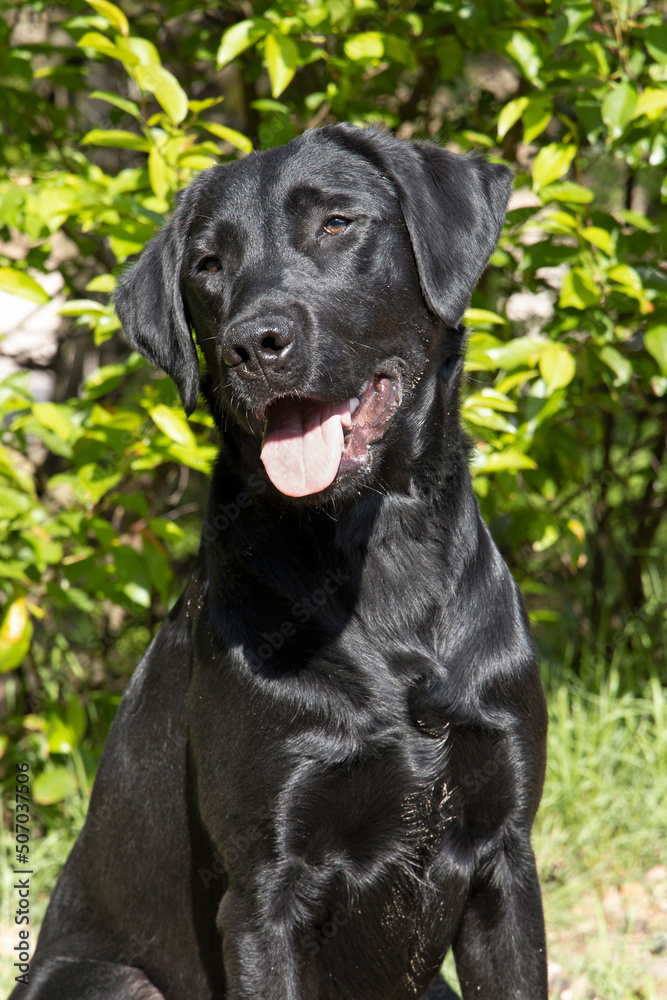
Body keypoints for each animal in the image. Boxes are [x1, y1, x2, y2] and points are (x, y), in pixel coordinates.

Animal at [17, 125, 548, 1000]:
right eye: (208, 265)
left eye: (336, 222)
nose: (253, 345)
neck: (383, 559)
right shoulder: (265, 891)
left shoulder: (505, 857)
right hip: (109, 977)